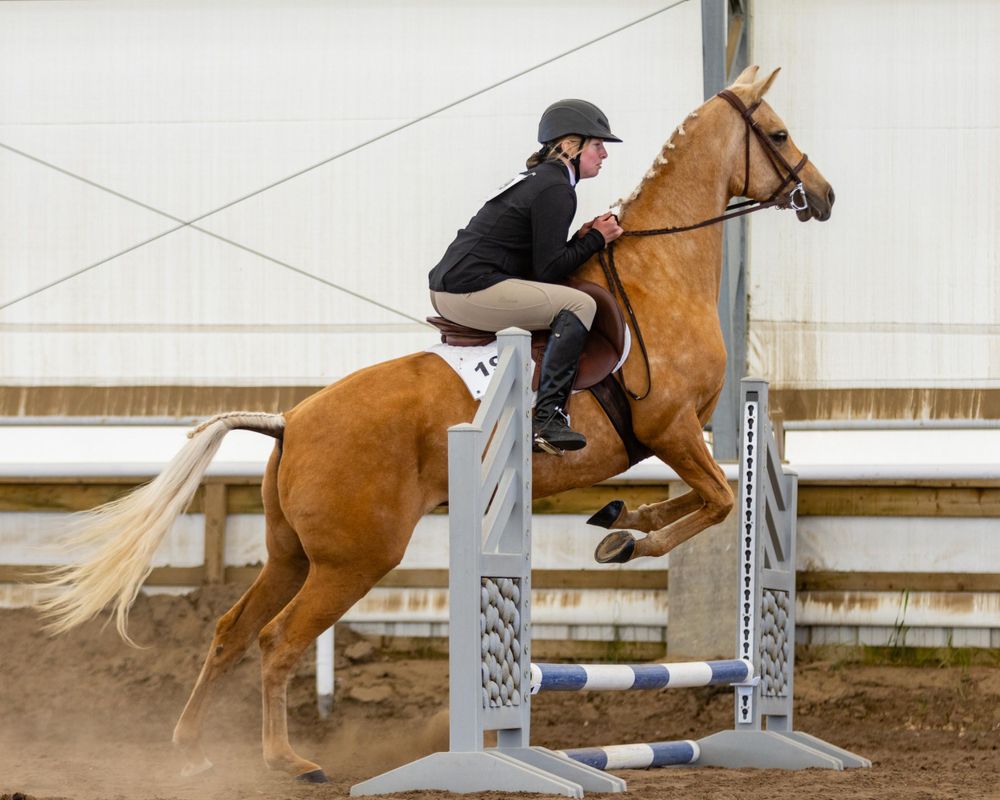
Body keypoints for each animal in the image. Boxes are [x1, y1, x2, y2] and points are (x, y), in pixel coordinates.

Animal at [36, 66, 834, 783]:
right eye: (778, 133)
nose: (823, 196)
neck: (662, 269)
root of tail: (290, 421)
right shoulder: (670, 429)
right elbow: (719, 501)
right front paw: (630, 541)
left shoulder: (675, 438)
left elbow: (700, 498)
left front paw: (618, 524)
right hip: (354, 562)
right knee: (278, 639)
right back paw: (288, 761)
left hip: (293, 555)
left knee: (232, 631)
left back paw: (193, 750)